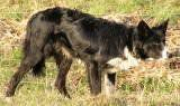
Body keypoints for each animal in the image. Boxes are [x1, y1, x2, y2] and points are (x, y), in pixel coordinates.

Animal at [5, 6, 169, 97]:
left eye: (164, 42)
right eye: (155, 44)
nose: (170, 54)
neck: (127, 42)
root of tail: (35, 16)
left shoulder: (111, 71)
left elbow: (110, 92)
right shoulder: (93, 64)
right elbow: (96, 90)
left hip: (67, 59)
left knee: (58, 83)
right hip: (35, 55)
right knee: (15, 77)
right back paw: (9, 97)